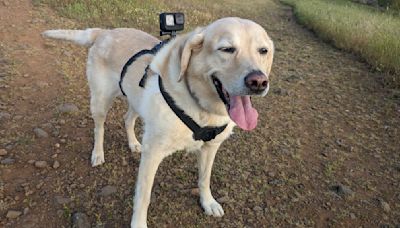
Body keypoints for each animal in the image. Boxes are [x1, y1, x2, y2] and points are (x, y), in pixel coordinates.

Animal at [43, 17, 276, 228]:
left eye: (263, 51)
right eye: (226, 49)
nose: (258, 82)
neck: (201, 107)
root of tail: (104, 32)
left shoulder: (211, 147)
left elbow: (204, 178)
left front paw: (208, 202)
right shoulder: (153, 153)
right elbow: (143, 196)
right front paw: (138, 224)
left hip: (137, 100)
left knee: (127, 119)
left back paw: (133, 143)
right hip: (101, 101)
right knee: (99, 128)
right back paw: (98, 153)